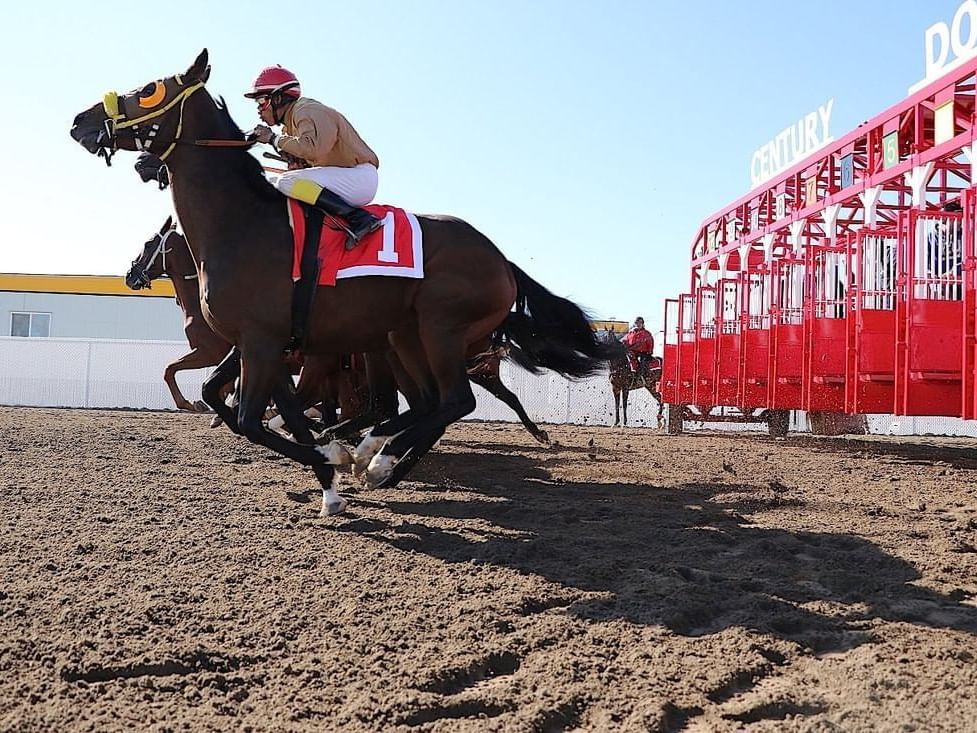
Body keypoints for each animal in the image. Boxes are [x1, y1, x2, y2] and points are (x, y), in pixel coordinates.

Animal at [72, 48, 612, 516]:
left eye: (148, 89)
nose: (81, 121)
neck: (240, 223)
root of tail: (502, 260)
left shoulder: (263, 342)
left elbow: (250, 420)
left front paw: (333, 460)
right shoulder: (264, 343)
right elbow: (255, 407)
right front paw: (330, 478)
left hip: (439, 329)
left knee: (456, 400)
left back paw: (380, 460)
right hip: (403, 337)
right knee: (429, 402)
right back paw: (379, 455)